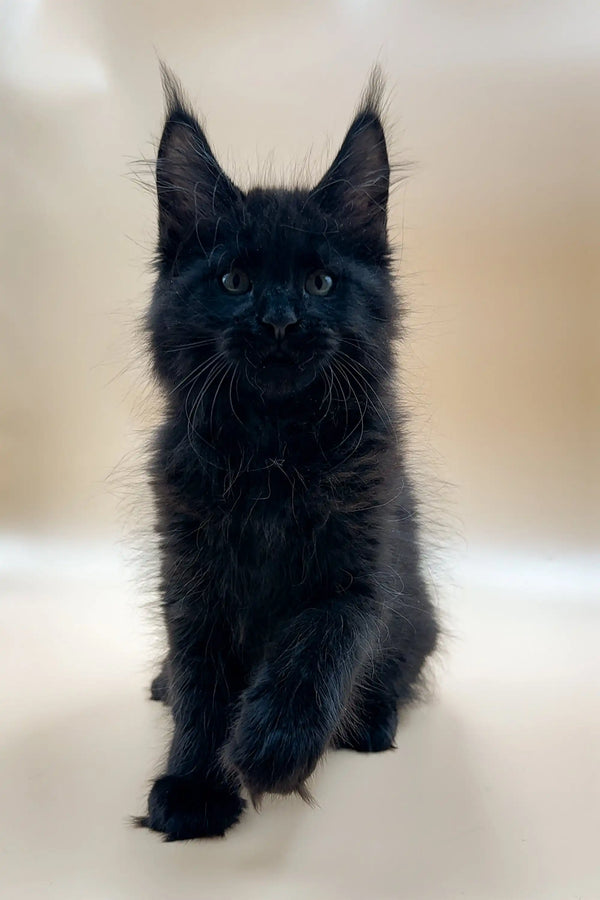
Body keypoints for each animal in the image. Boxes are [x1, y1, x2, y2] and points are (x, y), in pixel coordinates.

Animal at [139, 67, 440, 840]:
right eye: (234, 282)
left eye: (321, 283)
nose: (279, 321)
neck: (272, 456)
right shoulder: (192, 575)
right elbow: (202, 682)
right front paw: (194, 784)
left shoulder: (360, 568)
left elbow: (318, 647)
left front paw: (273, 748)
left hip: (415, 617)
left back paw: (371, 725)